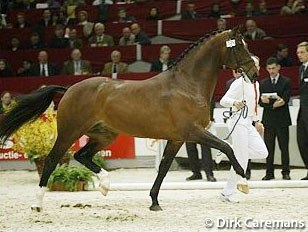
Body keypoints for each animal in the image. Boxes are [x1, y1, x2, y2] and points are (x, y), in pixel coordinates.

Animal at [0, 25, 258, 212]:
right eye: (240, 47)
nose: (254, 73)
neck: (186, 85)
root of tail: (70, 88)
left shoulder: (176, 139)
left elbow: (163, 168)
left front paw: (154, 202)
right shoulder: (192, 132)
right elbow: (227, 148)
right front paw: (243, 182)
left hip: (104, 135)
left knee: (82, 155)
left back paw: (105, 185)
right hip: (69, 132)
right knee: (53, 160)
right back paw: (37, 204)